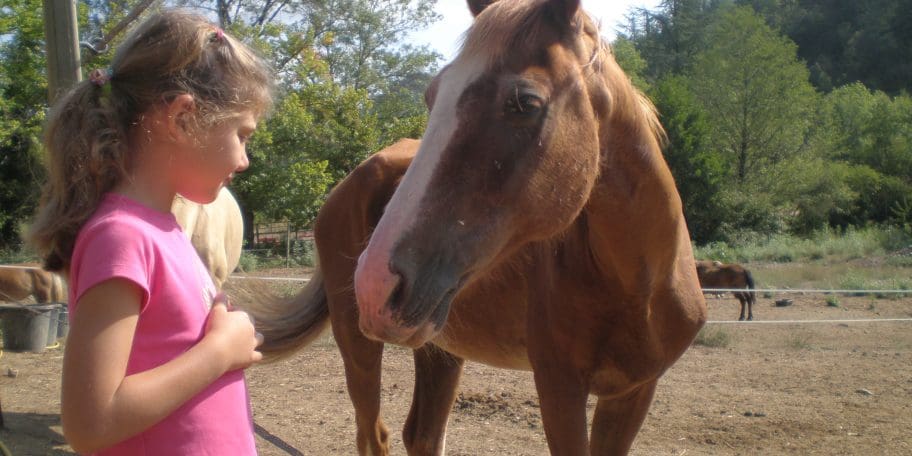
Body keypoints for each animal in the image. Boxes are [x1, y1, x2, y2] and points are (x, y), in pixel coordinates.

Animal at [248, 1, 704, 454]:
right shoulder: (559, 388)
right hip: (358, 343)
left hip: (439, 346)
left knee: (423, 434)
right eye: (432, 96)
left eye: (525, 103)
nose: (375, 284)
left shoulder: (634, 392)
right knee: (373, 434)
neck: (637, 287)